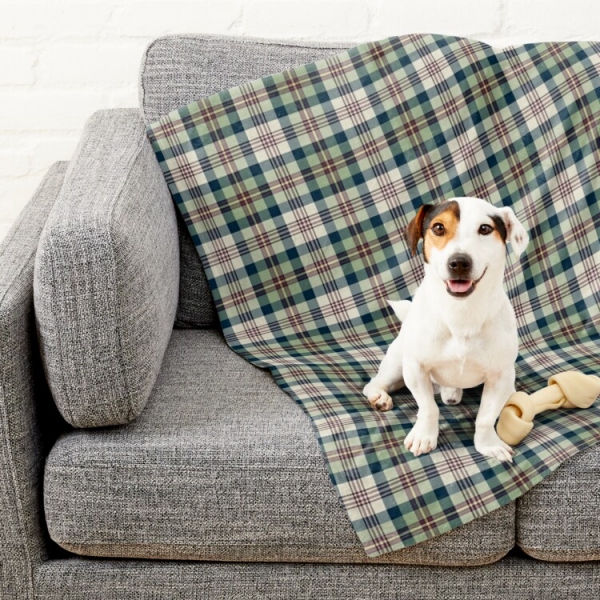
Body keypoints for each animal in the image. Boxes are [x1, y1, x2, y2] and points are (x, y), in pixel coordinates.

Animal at [364, 199, 528, 462]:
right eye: (438, 228)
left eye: (485, 228)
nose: (459, 262)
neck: (461, 314)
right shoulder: (416, 368)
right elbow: (428, 408)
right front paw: (424, 437)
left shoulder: (500, 376)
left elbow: (485, 417)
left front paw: (488, 445)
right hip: (397, 365)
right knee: (374, 383)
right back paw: (379, 397)